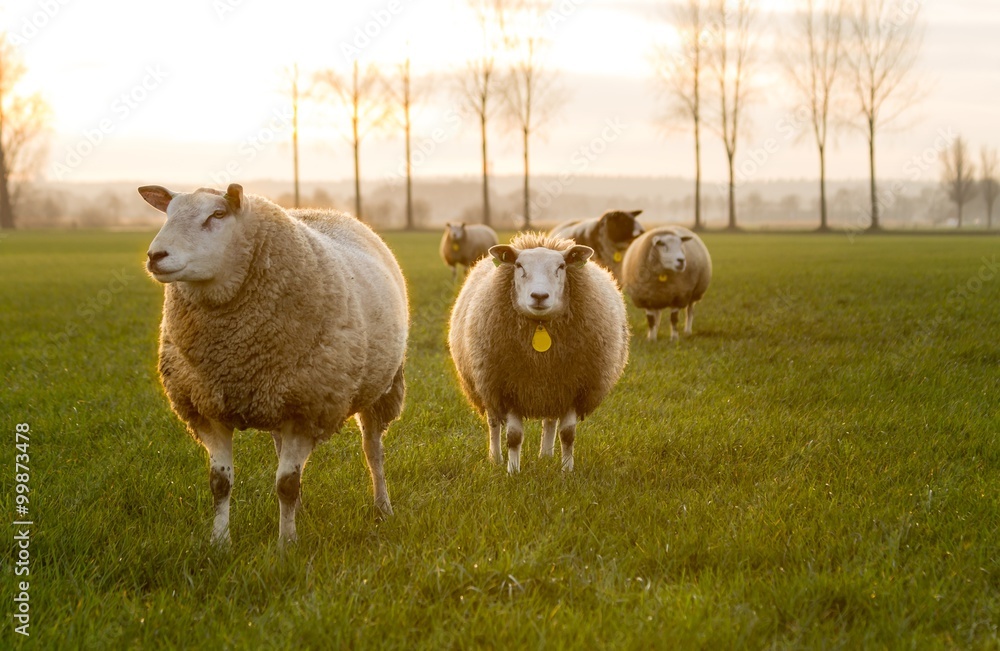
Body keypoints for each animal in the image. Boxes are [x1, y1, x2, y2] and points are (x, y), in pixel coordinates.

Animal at [138, 183, 408, 546]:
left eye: (217, 214)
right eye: (168, 213)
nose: (155, 256)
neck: (233, 354)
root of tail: (321, 211)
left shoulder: (306, 409)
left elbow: (286, 484)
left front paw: (286, 545)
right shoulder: (208, 408)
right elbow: (220, 483)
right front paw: (220, 543)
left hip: (381, 387)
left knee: (373, 451)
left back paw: (382, 507)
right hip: (277, 399)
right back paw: (302, 511)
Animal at [448, 232, 630, 473]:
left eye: (561, 266)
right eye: (519, 265)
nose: (539, 296)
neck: (540, 327)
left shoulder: (573, 387)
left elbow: (568, 434)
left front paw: (567, 471)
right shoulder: (508, 387)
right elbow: (513, 436)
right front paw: (513, 471)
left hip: (551, 391)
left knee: (549, 421)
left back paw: (546, 455)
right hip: (485, 385)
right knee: (493, 423)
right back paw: (495, 458)